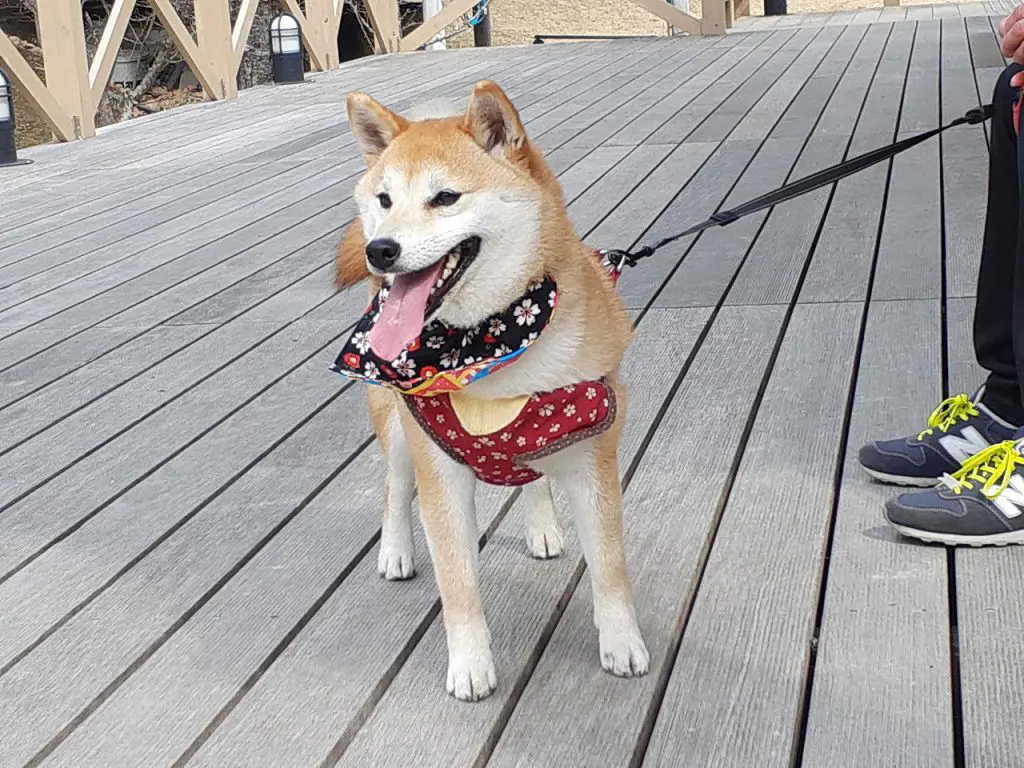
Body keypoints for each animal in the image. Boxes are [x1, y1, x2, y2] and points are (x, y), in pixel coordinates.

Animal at [331, 81, 643, 700]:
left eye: (445, 197)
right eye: (384, 200)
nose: (381, 250)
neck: (486, 344)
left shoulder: (592, 454)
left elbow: (611, 565)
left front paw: (622, 643)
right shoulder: (439, 470)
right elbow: (458, 584)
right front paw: (470, 664)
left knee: (531, 477)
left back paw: (541, 525)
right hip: (396, 431)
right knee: (393, 489)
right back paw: (396, 550)